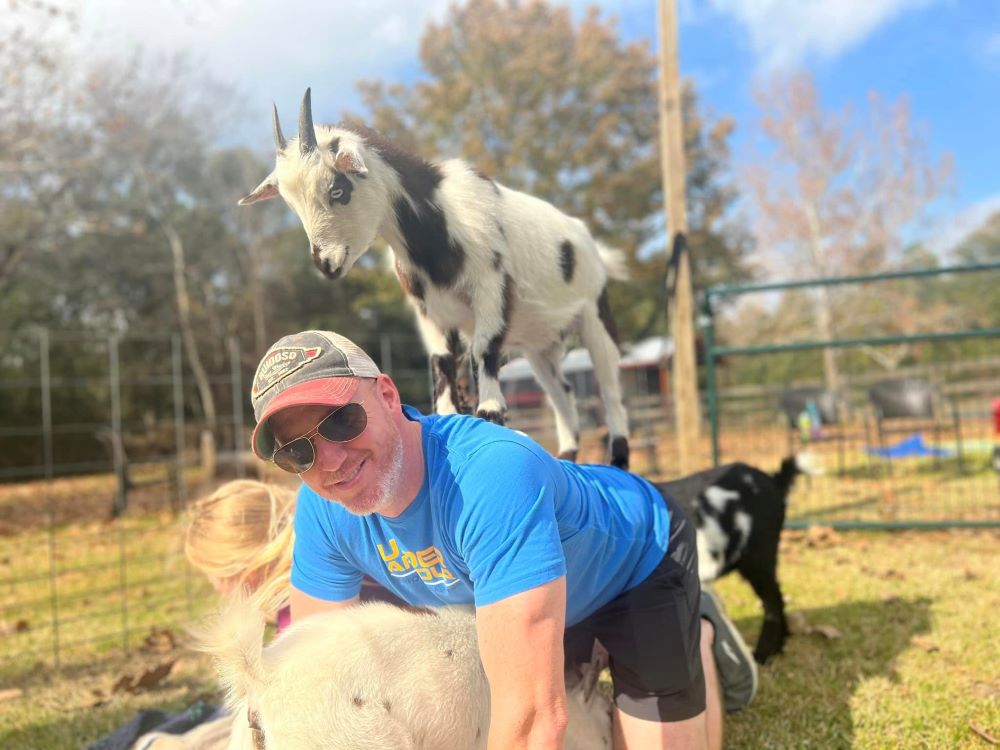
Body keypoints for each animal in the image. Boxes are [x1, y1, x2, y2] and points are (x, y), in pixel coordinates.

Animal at [238, 89, 631, 469]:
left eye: (338, 189)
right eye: (291, 205)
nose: (326, 263)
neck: (439, 224)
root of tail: (589, 242)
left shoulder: (490, 287)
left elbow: (485, 363)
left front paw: (489, 416)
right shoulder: (430, 311)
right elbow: (442, 369)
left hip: (595, 314)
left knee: (611, 390)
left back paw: (618, 461)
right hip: (540, 344)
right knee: (562, 392)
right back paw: (567, 458)